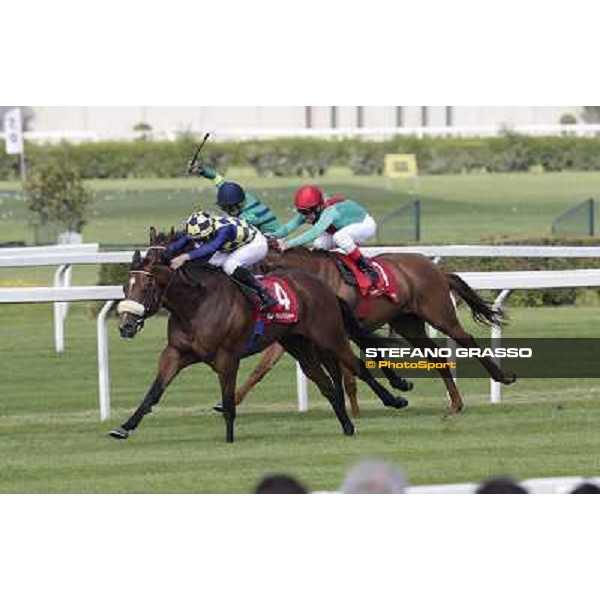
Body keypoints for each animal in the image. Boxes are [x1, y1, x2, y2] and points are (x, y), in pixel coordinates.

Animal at [110, 230, 410, 446]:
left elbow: (228, 398)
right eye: (126, 286)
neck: (196, 304)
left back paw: (394, 399)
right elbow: (153, 393)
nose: (126, 327)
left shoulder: (227, 356)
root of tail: (322, 286)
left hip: (329, 337)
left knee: (357, 367)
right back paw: (347, 426)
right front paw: (124, 428)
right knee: (326, 384)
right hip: (299, 345)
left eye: (147, 286)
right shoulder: (175, 353)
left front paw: (229, 438)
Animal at [234, 246, 516, 414]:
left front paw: (360, 409)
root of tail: (436, 268)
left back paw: (502, 376)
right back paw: (456, 403)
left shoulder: (338, 331)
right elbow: (261, 368)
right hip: (408, 322)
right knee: (435, 355)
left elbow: (352, 371)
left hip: (439, 314)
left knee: (465, 338)